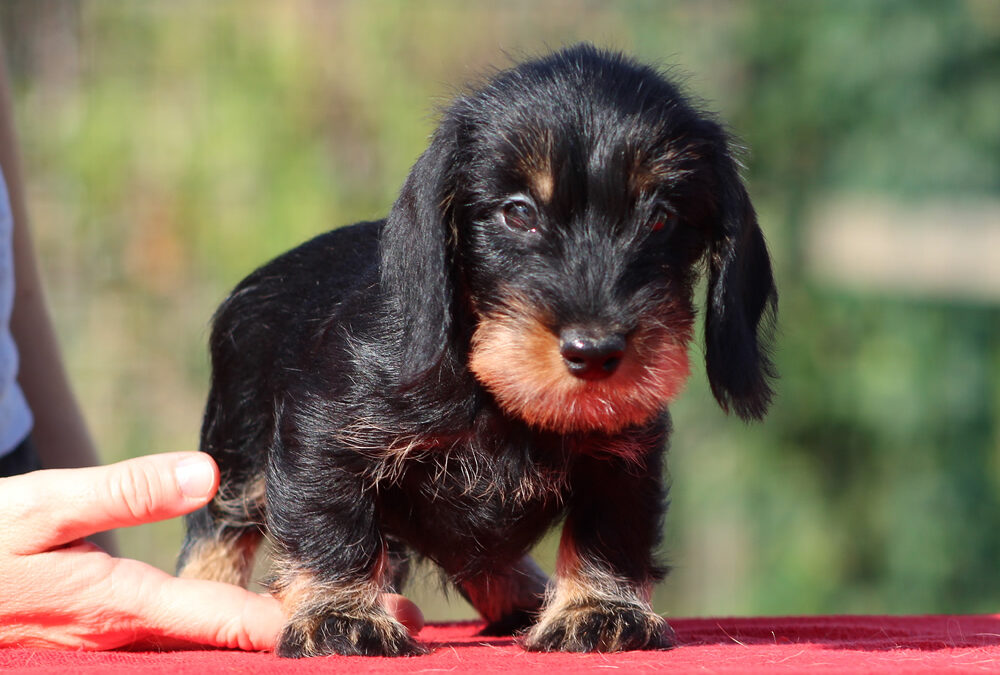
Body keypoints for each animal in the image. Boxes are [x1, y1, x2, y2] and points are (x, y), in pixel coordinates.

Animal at [176, 45, 776, 656]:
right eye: (518, 212)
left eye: (660, 218)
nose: (594, 352)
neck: (491, 391)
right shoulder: (322, 433)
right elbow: (331, 523)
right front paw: (339, 615)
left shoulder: (622, 455)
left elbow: (611, 529)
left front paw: (598, 607)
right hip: (237, 451)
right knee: (216, 534)